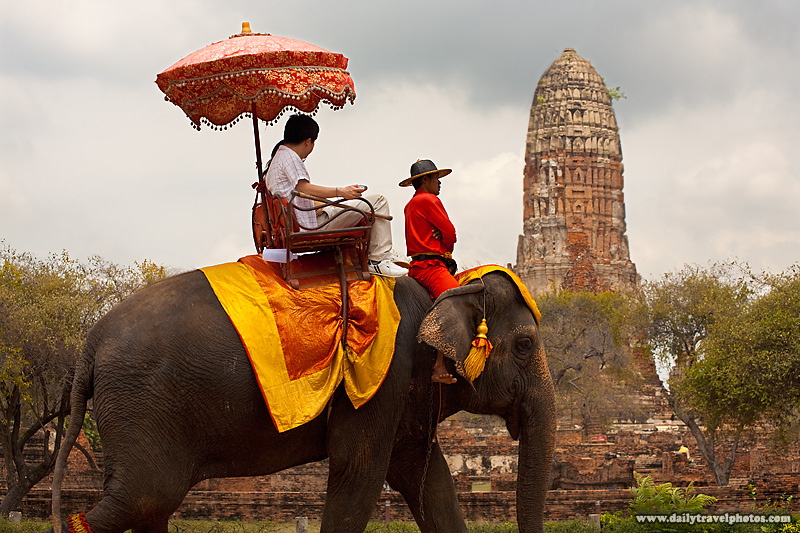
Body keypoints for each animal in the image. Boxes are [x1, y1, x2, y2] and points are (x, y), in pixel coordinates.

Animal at [51, 268, 556, 528]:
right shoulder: (380, 380)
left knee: (148, 506)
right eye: (526, 344)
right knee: (142, 499)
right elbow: (358, 475)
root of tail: (90, 343)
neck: (450, 284)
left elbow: (428, 480)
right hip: (141, 407)